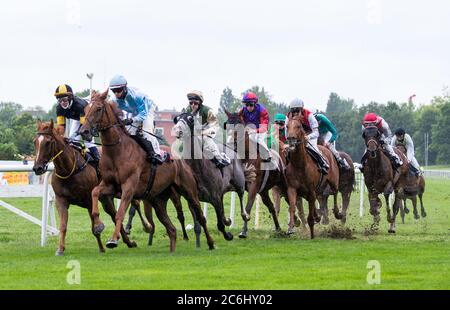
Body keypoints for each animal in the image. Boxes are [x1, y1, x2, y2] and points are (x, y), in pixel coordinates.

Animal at [33, 120, 137, 256]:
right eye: (35, 141)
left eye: (48, 142)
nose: (37, 168)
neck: (69, 170)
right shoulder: (61, 200)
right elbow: (63, 226)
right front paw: (60, 249)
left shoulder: (89, 200)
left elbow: (94, 226)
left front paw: (100, 242)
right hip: (105, 198)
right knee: (114, 215)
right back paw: (126, 241)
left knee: (118, 213)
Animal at [78, 90, 213, 252]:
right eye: (85, 109)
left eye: (98, 108)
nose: (83, 131)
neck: (117, 151)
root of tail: (181, 160)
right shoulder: (110, 185)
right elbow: (95, 192)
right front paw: (98, 225)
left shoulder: (129, 187)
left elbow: (120, 213)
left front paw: (113, 239)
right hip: (158, 199)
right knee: (171, 229)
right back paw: (172, 251)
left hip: (189, 191)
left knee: (200, 216)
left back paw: (211, 243)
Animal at [223, 110, 286, 239]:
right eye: (227, 125)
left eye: (239, 125)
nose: (230, 144)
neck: (246, 157)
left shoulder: (253, 186)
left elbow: (247, 207)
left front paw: (243, 231)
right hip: (264, 191)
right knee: (271, 207)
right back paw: (278, 229)